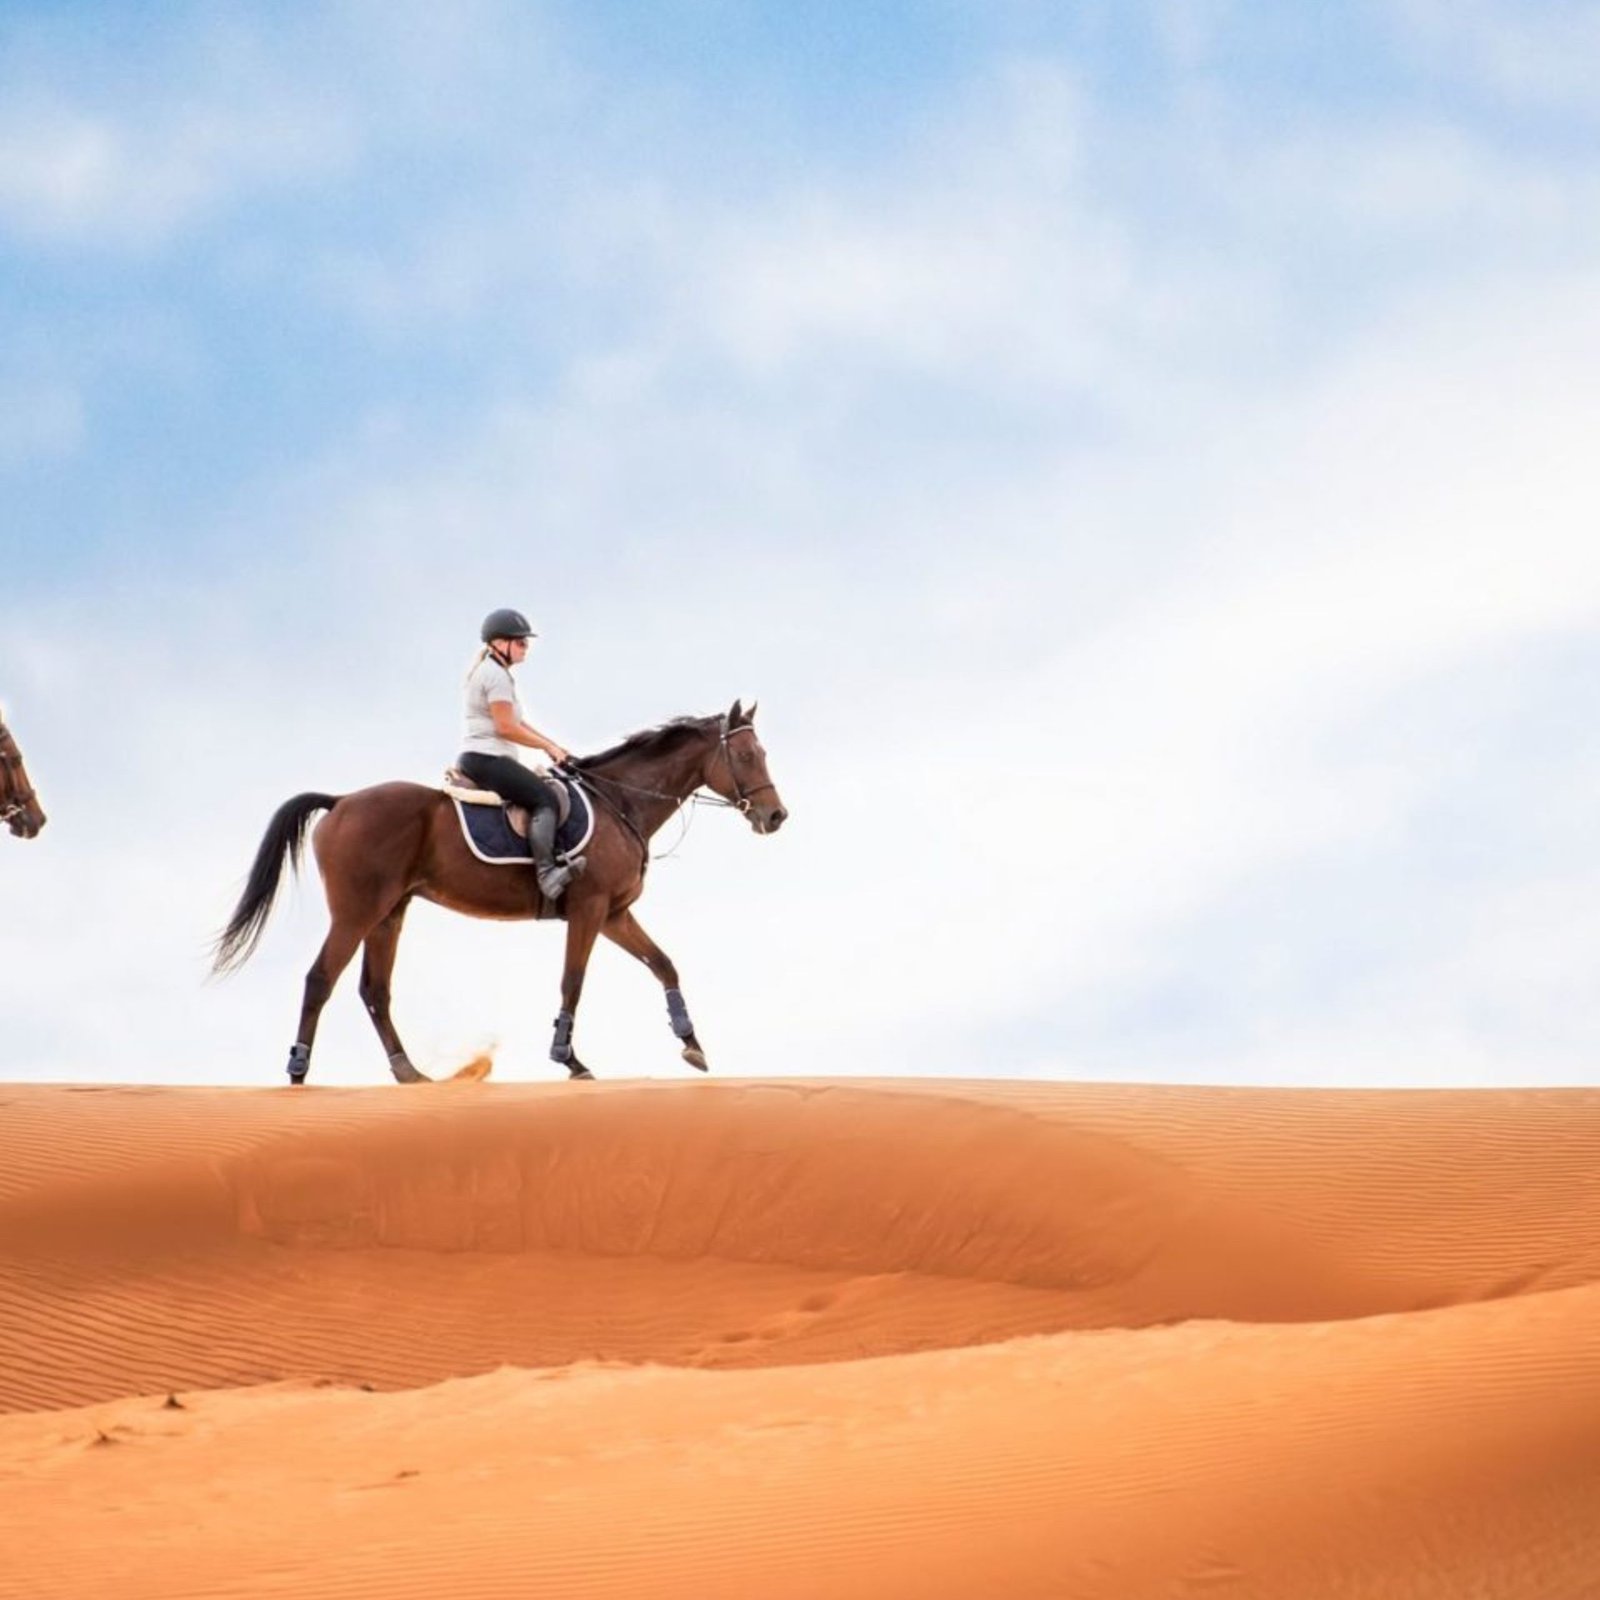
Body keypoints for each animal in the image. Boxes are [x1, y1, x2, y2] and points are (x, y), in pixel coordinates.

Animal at [212, 704, 787, 1088]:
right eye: (745, 754)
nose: (776, 816)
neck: (619, 802)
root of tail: (342, 801)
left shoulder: (615, 914)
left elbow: (664, 964)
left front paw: (691, 1043)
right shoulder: (589, 909)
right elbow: (572, 981)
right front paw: (568, 1057)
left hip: (390, 913)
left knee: (374, 990)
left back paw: (409, 1073)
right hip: (357, 912)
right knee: (320, 980)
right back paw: (298, 1072)